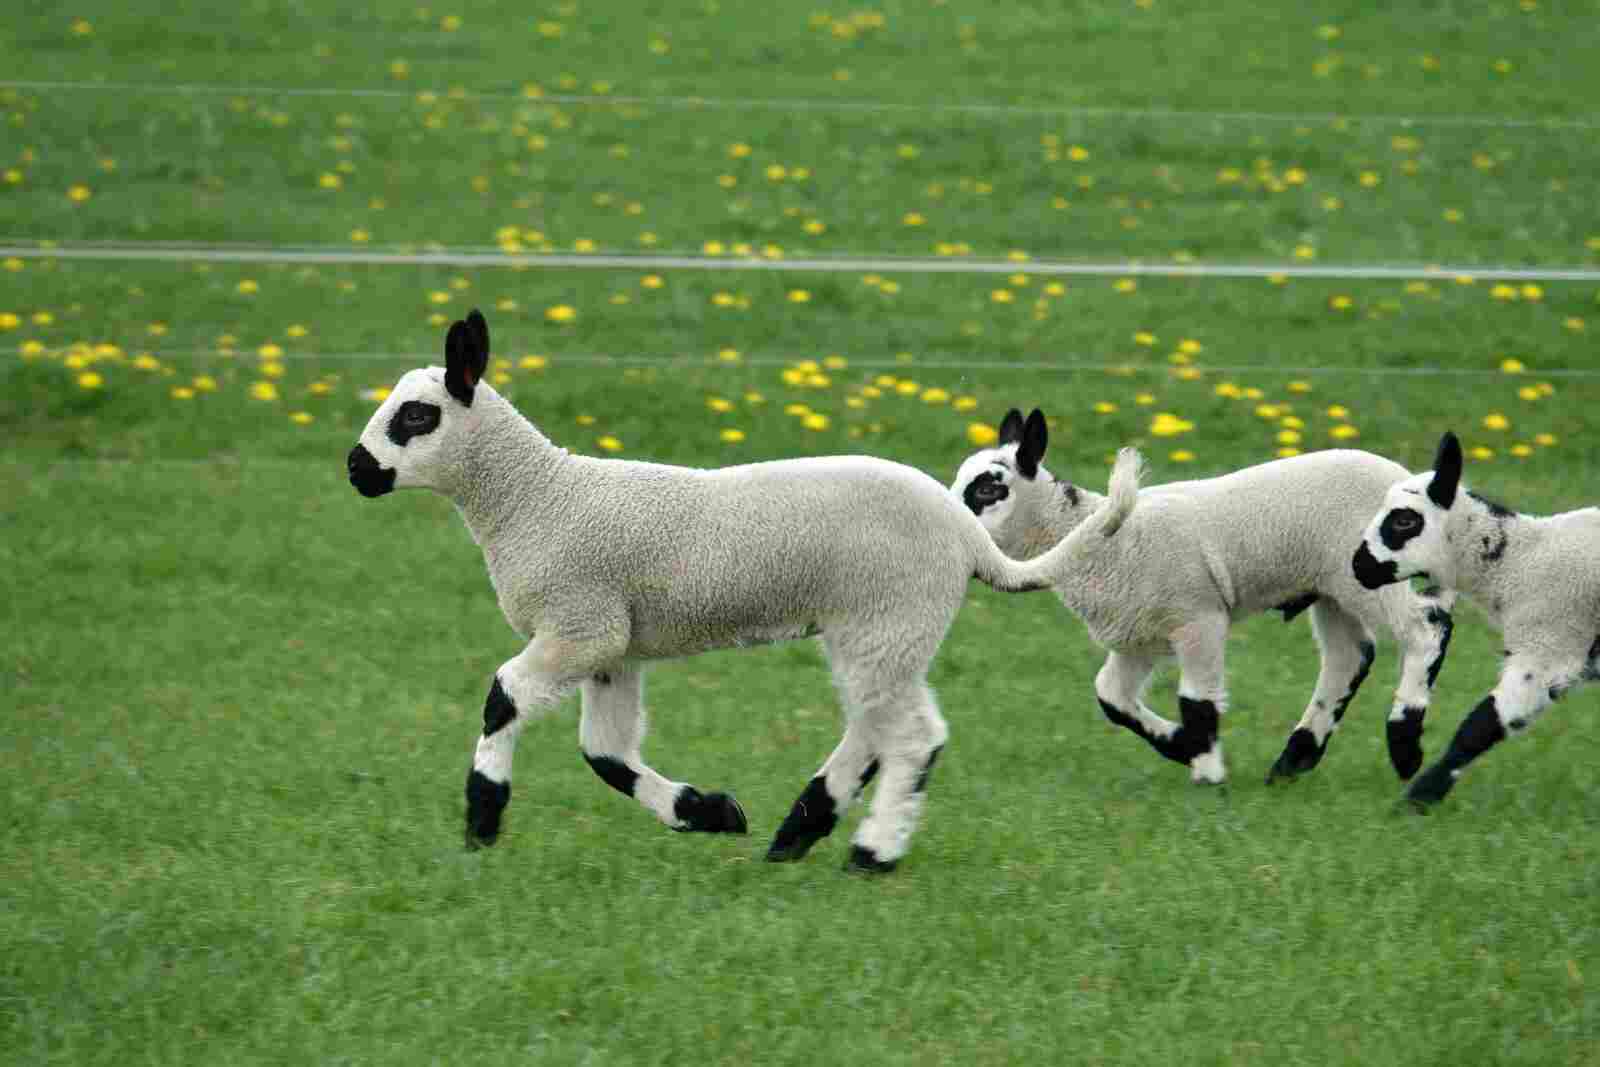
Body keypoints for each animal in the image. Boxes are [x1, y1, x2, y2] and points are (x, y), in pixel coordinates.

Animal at [347, 310, 1075, 876]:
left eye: (417, 416)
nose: (356, 469)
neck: (536, 497)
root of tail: (968, 534)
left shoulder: (580, 624)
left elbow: (504, 698)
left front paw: (482, 819)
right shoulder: (614, 646)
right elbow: (606, 751)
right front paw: (710, 812)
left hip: (886, 616)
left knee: (914, 737)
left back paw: (872, 852)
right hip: (886, 628)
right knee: (877, 727)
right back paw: (797, 832)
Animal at [947, 406, 1465, 783]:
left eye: (990, 488)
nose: (946, 521)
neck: (1099, 538)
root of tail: (1425, 486)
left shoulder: (1198, 618)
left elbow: (1197, 702)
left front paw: (1208, 773)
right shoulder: (1139, 637)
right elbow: (1111, 697)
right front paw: (1182, 747)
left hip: (1371, 575)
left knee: (1425, 630)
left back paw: (1404, 745)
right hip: (1332, 589)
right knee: (1349, 658)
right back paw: (1294, 760)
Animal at [1350, 428, 1600, 806]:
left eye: (1405, 521)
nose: (1358, 566)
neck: (1522, 563)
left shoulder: (1549, 646)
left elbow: (1479, 726)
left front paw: (1419, 797)